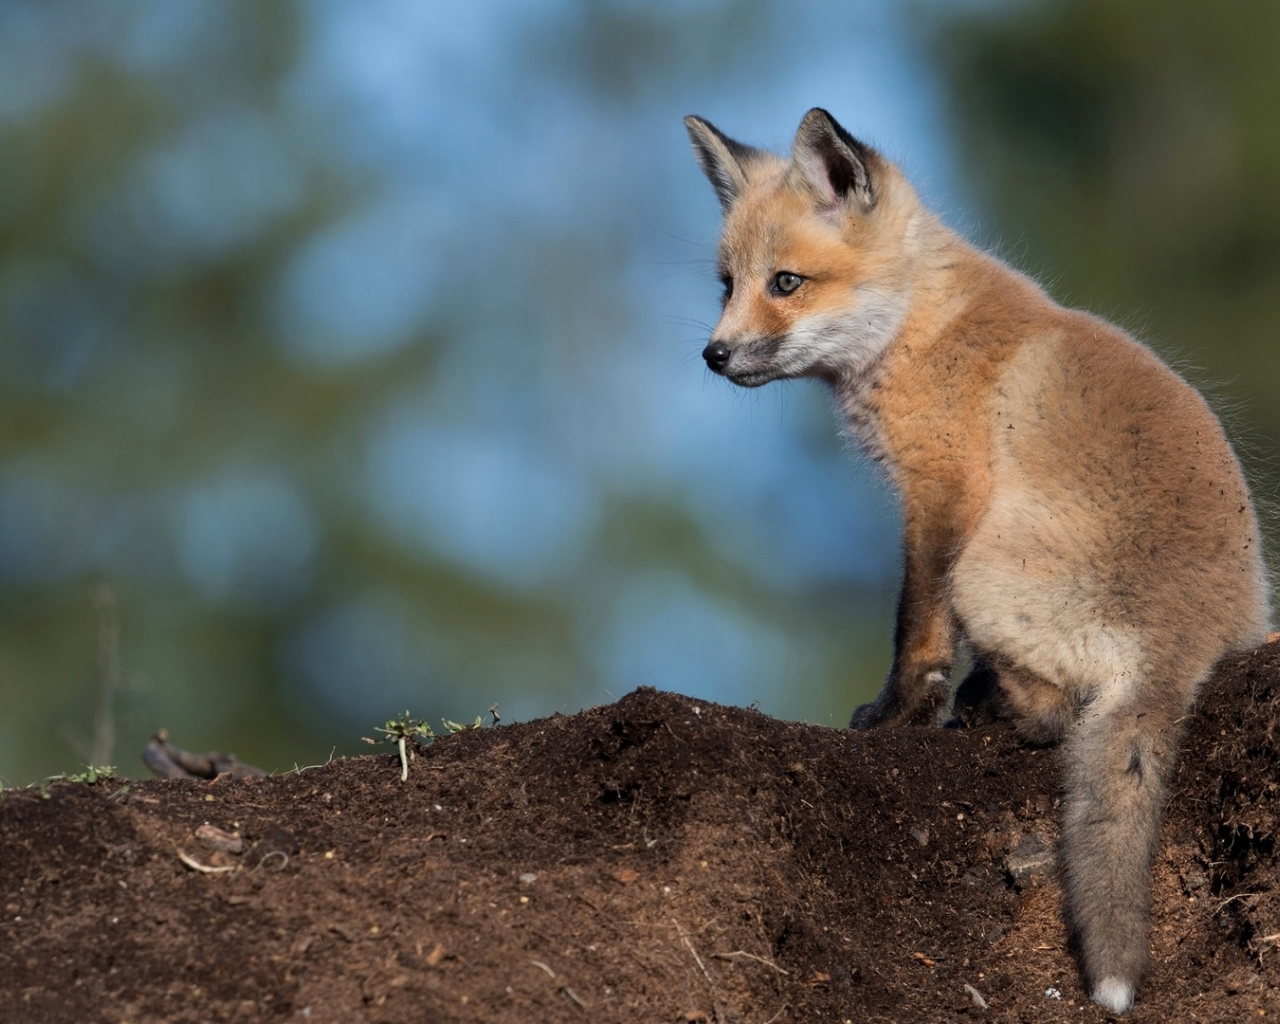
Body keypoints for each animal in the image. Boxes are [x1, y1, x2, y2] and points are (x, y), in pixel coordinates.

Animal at [686, 108, 1264, 1013]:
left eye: (785, 283)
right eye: (726, 284)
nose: (713, 354)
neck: (922, 327)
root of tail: (1186, 643)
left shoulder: (942, 491)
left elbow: (914, 630)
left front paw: (898, 716)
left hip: (985, 568)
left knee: (1059, 715)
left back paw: (992, 705)